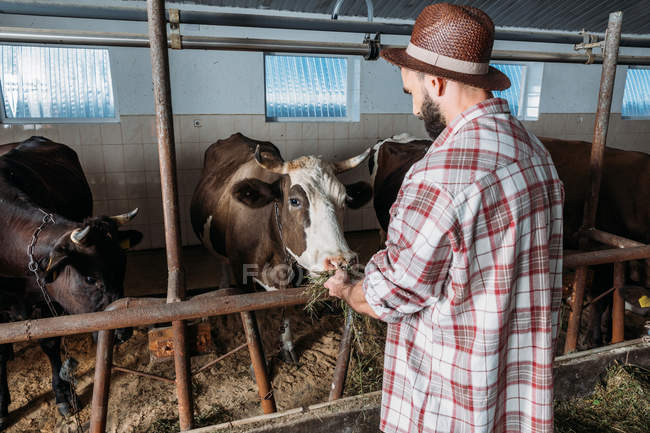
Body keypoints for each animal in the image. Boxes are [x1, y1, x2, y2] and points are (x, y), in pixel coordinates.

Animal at [0, 137, 142, 426]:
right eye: (89, 278)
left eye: (122, 266)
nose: (123, 332)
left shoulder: (45, 296)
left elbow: (50, 341)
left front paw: (63, 395)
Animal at [189, 132, 370, 362]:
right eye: (294, 201)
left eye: (344, 199)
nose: (342, 261)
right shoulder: (243, 277)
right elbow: (252, 323)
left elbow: (284, 308)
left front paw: (287, 346)